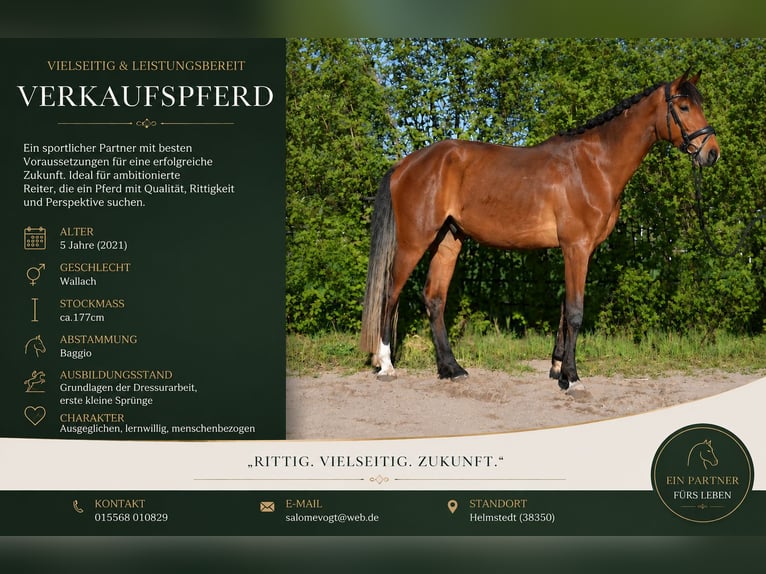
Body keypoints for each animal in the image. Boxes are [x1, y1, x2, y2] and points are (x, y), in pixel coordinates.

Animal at [360, 70, 720, 390]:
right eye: (684, 107)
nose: (712, 152)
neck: (594, 164)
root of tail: (404, 165)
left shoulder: (577, 250)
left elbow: (564, 309)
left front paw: (558, 368)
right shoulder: (576, 247)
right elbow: (575, 312)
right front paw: (572, 378)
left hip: (449, 239)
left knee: (434, 298)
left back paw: (451, 369)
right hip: (414, 240)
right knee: (390, 293)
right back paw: (386, 364)